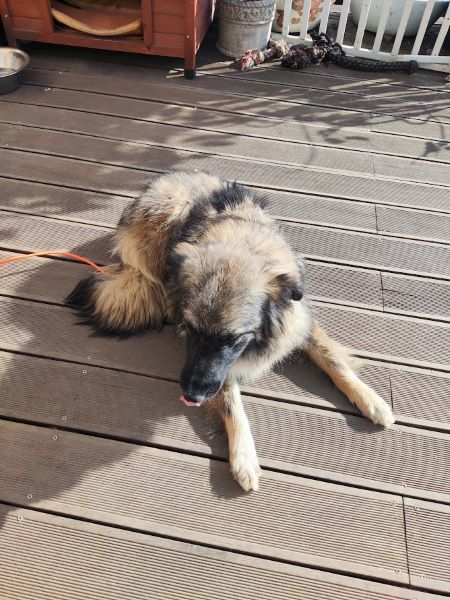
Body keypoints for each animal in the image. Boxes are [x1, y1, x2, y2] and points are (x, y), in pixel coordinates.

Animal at [66, 171, 395, 491]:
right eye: (190, 329)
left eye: (233, 338)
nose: (192, 394)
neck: (241, 244)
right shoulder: (218, 369)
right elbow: (230, 402)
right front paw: (244, 458)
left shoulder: (298, 320)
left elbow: (332, 358)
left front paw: (369, 399)